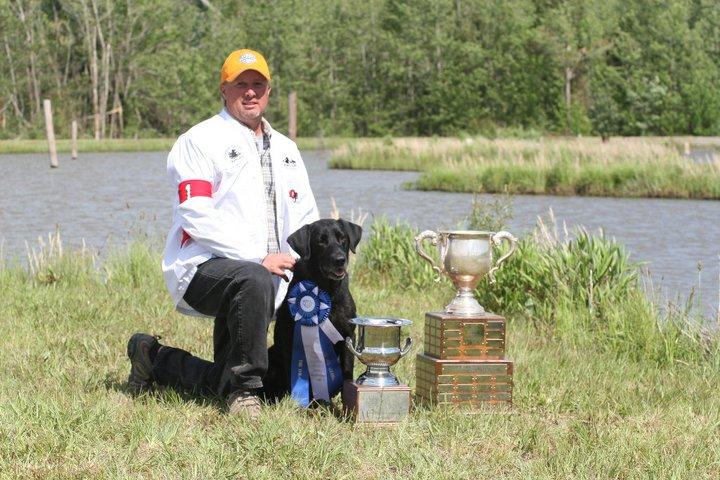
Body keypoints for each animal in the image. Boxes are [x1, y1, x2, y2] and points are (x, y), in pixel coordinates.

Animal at [262, 218, 360, 402]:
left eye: (342, 238)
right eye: (321, 241)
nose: (340, 259)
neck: (327, 291)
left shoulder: (348, 335)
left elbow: (347, 372)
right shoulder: (289, 337)